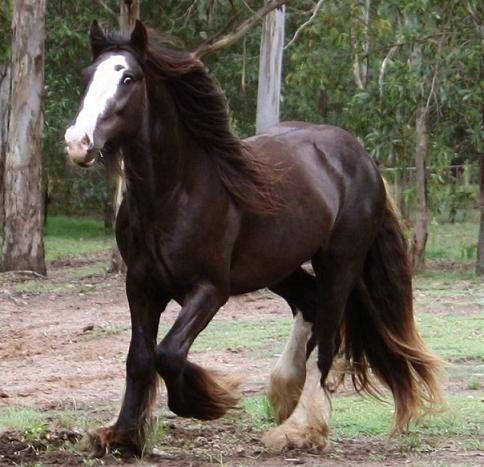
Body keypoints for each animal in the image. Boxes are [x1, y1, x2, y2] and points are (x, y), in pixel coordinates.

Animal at [64, 21, 442, 458]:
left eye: (128, 78)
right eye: (87, 77)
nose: (78, 143)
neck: (177, 192)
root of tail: (361, 157)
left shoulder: (210, 289)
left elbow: (169, 353)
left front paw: (208, 401)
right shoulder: (140, 285)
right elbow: (140, 357)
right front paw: (123, 434)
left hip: (340, 262)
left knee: (327, 339)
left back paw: (300, 429)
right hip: (280, 266)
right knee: (310, 306)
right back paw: (285, 393)